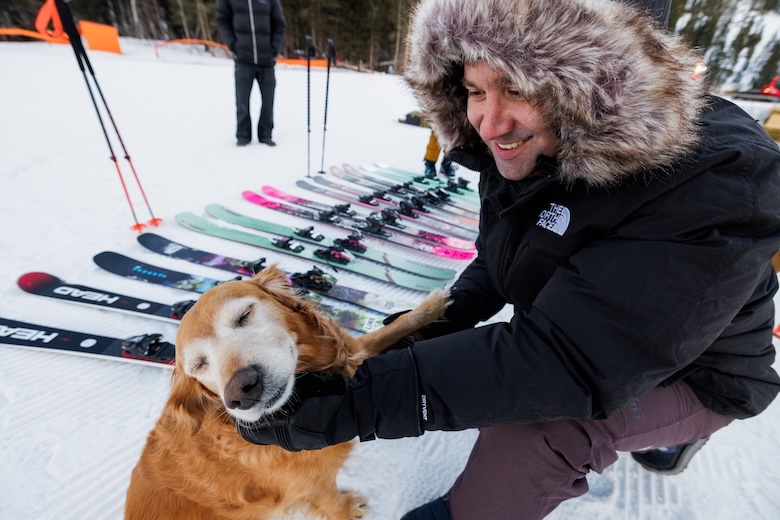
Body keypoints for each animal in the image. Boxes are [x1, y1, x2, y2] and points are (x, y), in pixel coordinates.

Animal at [125, 266, 448, 516]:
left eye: (244, 315)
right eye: (200, 365)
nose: (242, 391)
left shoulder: (354, 355)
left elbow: (386, 332)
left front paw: (432, 306)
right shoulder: (313, 484)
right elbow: (330, 501)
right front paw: (347, 510)